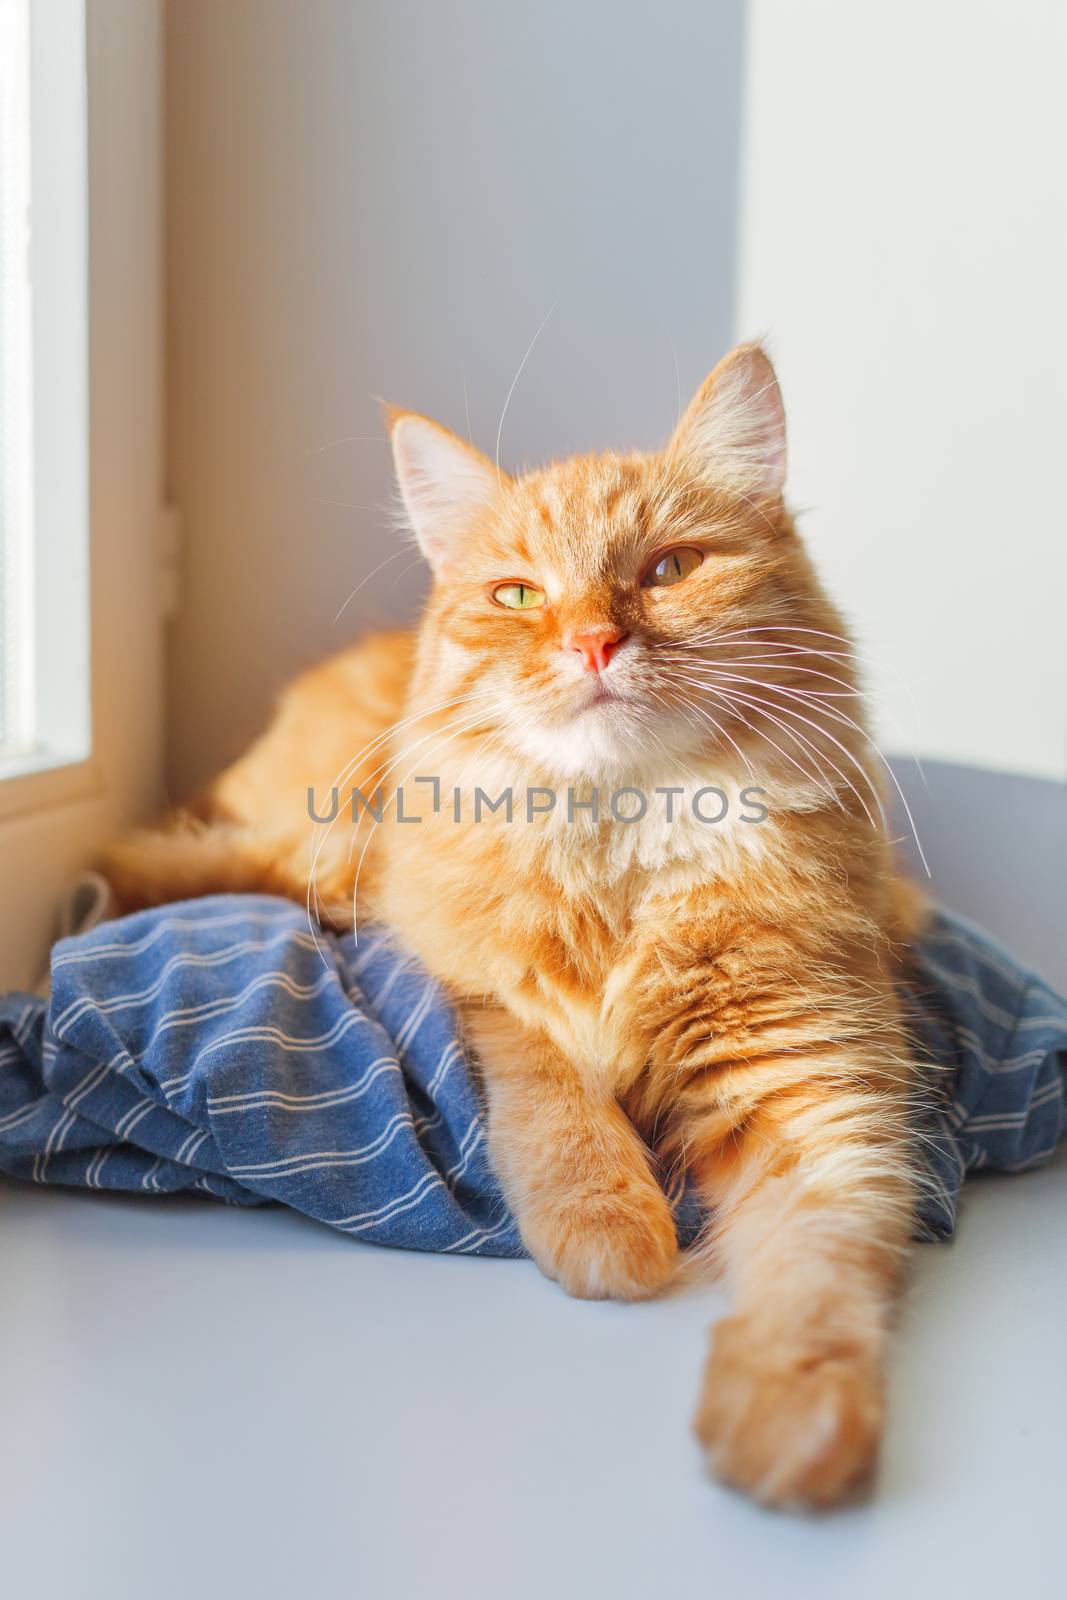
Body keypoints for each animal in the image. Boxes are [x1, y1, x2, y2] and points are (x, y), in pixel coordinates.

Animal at [106, 350, 927, 1510]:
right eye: (518, 596)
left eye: (669, 568)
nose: (593, 641)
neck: (620, 847)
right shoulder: (497, 997)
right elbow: (563, 1116)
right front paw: (613, 1232)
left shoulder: (806, 1074)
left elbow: (818, 1266)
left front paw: (790, 1421)